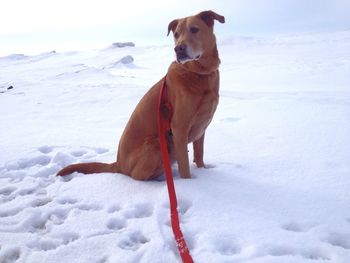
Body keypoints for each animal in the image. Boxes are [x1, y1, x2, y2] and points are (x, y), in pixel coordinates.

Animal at [56, 9, 226, 179]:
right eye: (176, 34)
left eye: (194, 29)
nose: (178, 49)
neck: (199, 74)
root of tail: (119, 164)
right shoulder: (179, 129)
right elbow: (185, 168)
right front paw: (190, 183)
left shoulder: (201, 128)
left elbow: (199, 155)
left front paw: (203, 171)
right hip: (158, 143)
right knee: (138, 176)